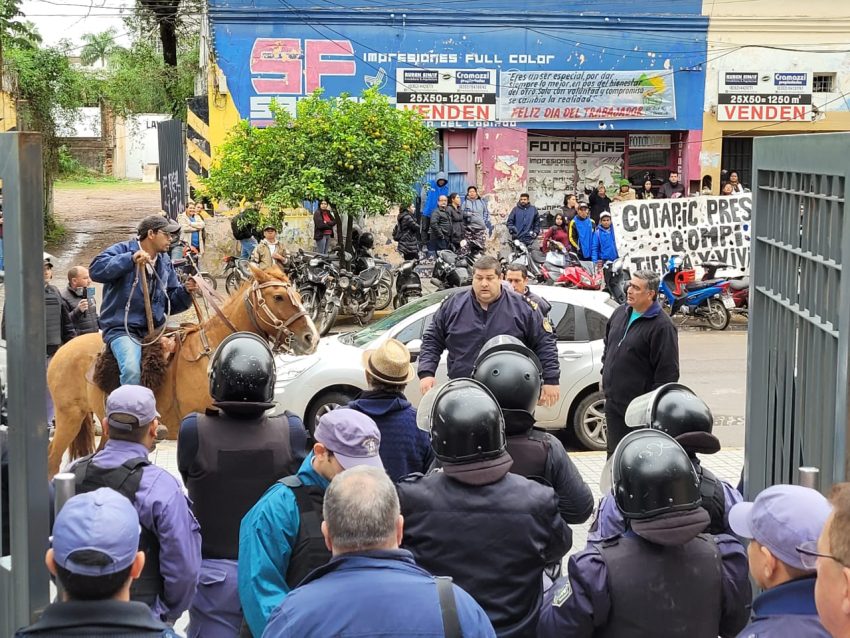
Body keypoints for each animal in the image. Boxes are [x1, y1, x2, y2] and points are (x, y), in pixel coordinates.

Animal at [45, 264, 318, 480]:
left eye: (297, 293)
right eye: (279, 297)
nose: (311, 338)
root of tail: (63, 349)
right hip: (68, 417)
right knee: (51, 462)